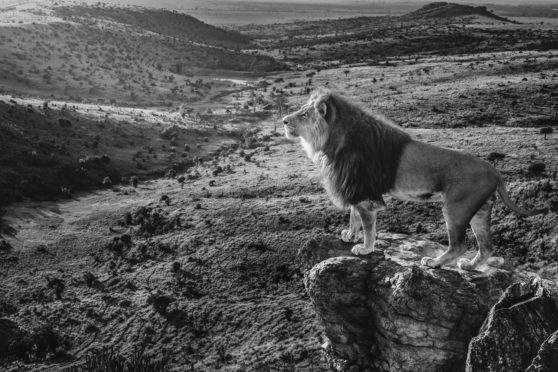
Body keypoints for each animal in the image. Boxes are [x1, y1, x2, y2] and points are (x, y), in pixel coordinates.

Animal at [282, 89, 548, 270]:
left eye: (304, 114)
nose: (283, 121)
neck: (333, 141)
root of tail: (495, 171)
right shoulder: (357, 187)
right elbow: (353, 215)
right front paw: (350, 234)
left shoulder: (365, 193)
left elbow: (368, 225)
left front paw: (365, 248)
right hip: (480, 210)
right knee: (487, 247)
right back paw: (470, 267)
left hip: (456, 209)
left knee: (459, 245)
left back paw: (434, 263)